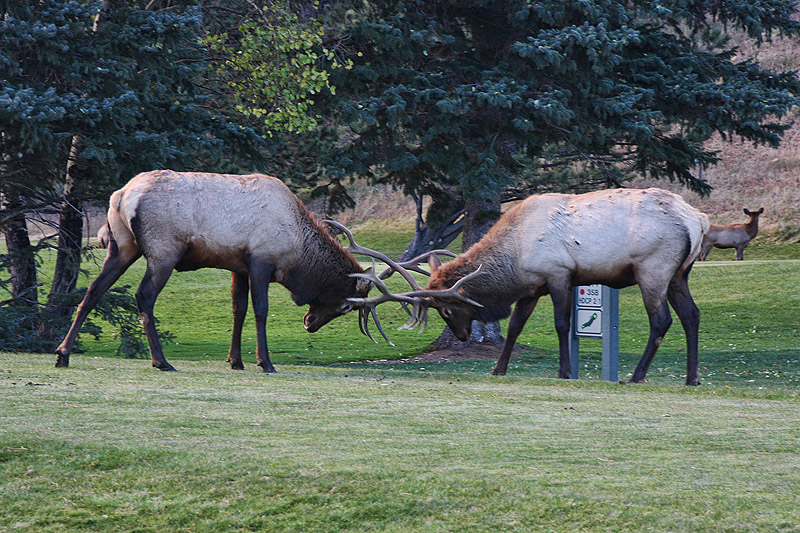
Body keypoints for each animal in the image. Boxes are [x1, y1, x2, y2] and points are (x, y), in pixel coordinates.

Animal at [55, 169, 440, 370]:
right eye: (347, 305)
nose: (310, 323)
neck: (296, 247)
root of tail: (121, 196)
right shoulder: (260, 260)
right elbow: (260, 310)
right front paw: (264, 361)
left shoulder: (236, 265)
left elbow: (237, 309)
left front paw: (235, 360)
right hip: (164, 250)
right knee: (143, 296)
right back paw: (160, 361)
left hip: (122, 246)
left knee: (93, 291)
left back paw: (63, 353)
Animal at [360, 189, 708, 384]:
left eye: (445, 309)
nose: (460, 335)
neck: (515, 258)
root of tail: (699, 219)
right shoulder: (531, 288)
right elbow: (514, 327)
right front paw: (498, 369)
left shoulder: (558, 273)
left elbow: (562, 324)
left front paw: (564, 371)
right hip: (680, 273)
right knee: (692, 315)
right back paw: (692, 378)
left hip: (653, 268)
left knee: (662, 320)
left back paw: (636, 376)